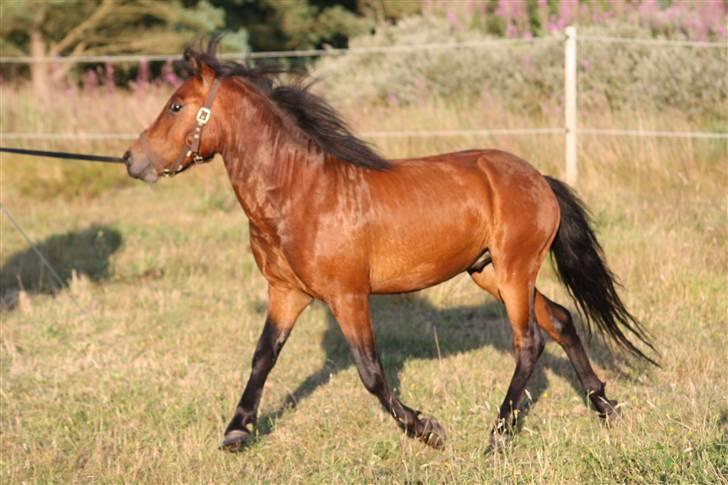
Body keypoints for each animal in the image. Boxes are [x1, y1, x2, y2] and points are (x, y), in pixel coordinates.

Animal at [122, 41, 657, 451]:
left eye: (175, 105)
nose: (132, 160)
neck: (301, 192)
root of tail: (539, 179)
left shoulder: (347, 296)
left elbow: (372, 372)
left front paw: (427, 429)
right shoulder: (286, 293)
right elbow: (262, 357)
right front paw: (237, 431)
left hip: (514, 271)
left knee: (529, 342)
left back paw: (497, 437)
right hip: (489, 273)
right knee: (562, 320)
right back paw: (605, 407)